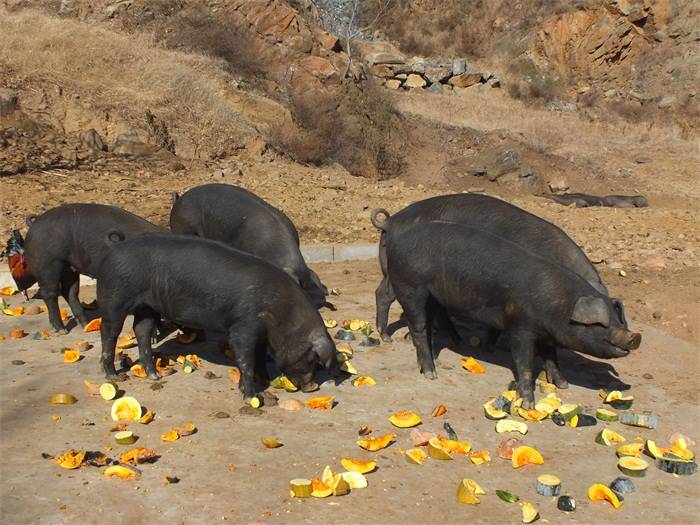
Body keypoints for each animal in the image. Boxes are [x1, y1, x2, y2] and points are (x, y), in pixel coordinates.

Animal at [7, 204, 163, 332]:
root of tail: (35, 223)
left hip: (69, 268)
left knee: (70, 292)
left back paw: (85, 324)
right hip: (48, 265)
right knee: (50, 293)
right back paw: (62, 330)